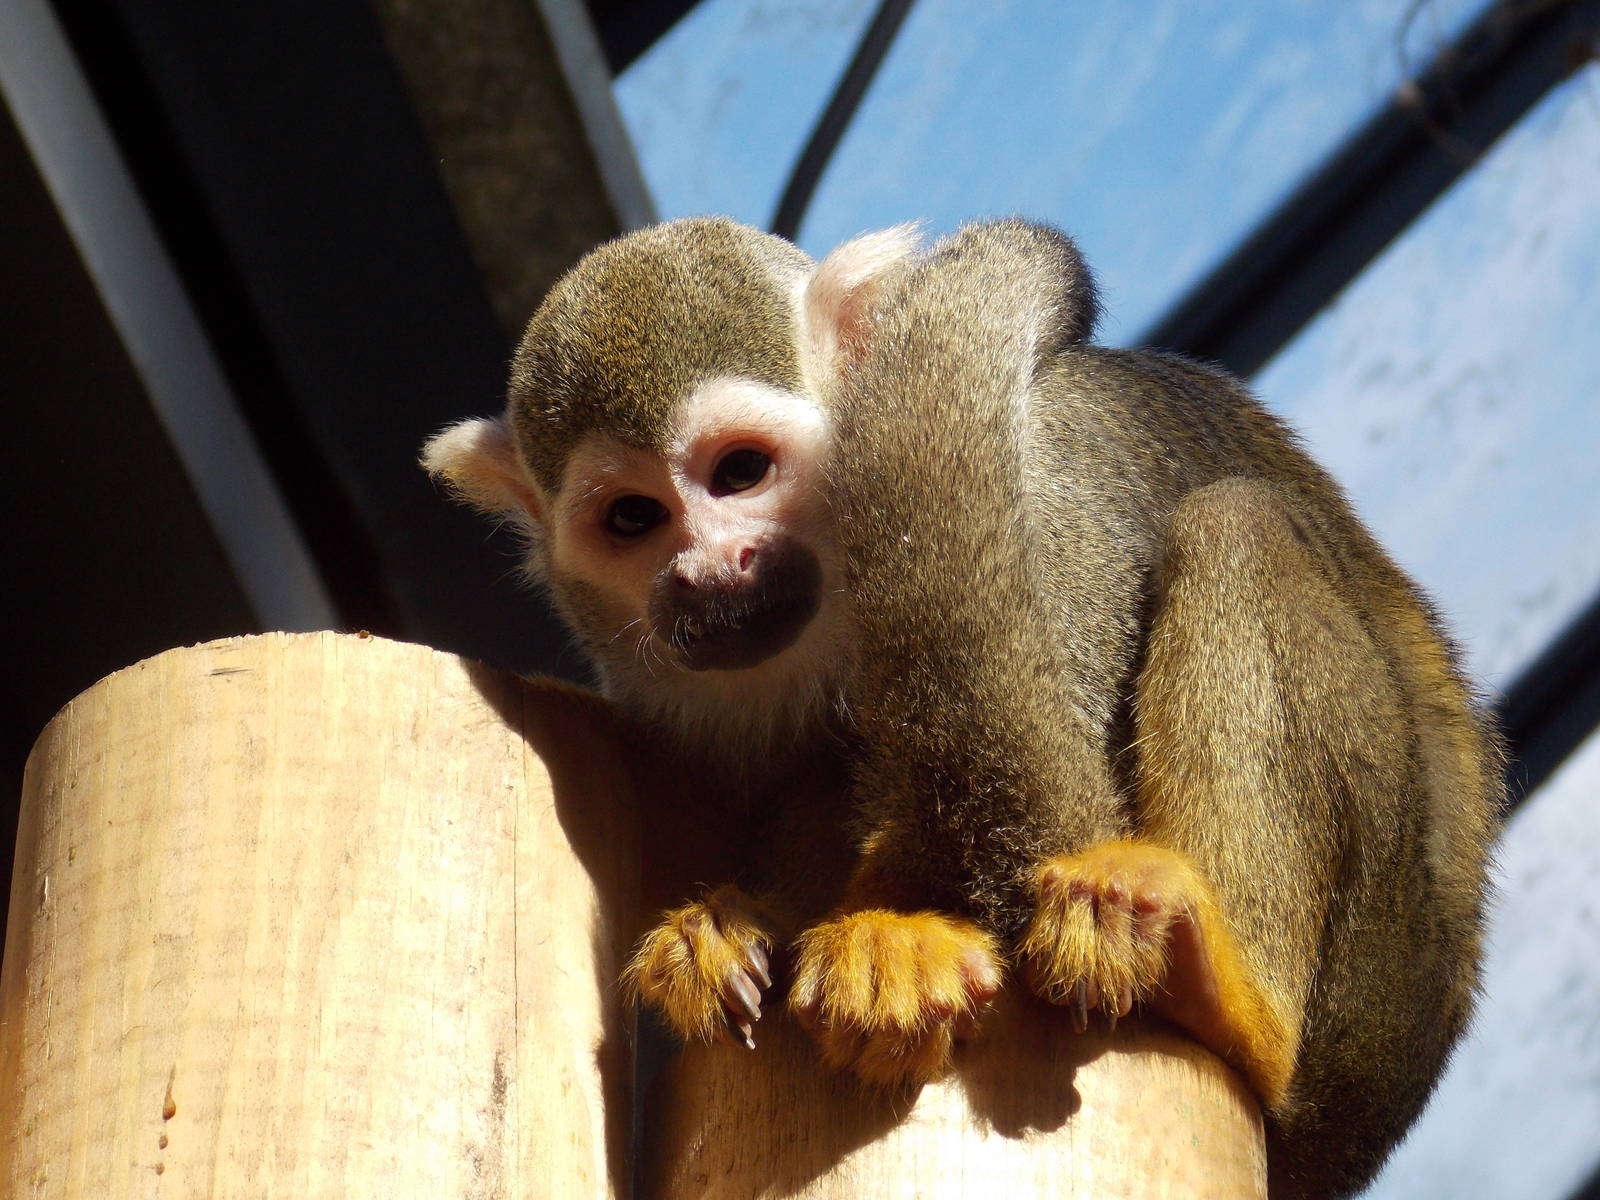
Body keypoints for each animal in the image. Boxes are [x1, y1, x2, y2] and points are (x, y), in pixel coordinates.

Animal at [422, 216, 1499, 1199]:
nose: (708, 571)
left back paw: (1233, 1005)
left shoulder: (1046, 479)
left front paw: (898, 936)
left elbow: (1051, 769)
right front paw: (727, 927)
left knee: (1240, 529)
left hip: (1378, 978)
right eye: (633, 518)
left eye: (739, 472)